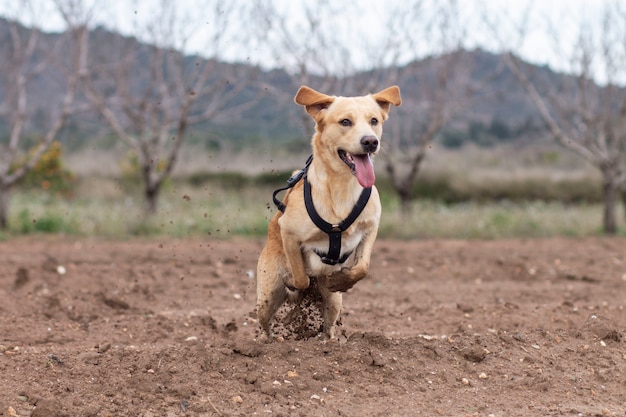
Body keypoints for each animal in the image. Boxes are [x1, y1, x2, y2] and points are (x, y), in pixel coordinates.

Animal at [254, 83, 400, 338]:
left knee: (328, 326)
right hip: (267, 295)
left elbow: (362, 267)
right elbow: (301, 278)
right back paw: (267, 340)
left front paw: (341, 280)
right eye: (345, 122)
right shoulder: (288, 233)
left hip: (333, 303)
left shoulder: (371, 228)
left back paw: (327, 340)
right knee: (264, 323)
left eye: (374, 120)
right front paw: (295, 283)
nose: (370, 141)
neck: (342, 186)